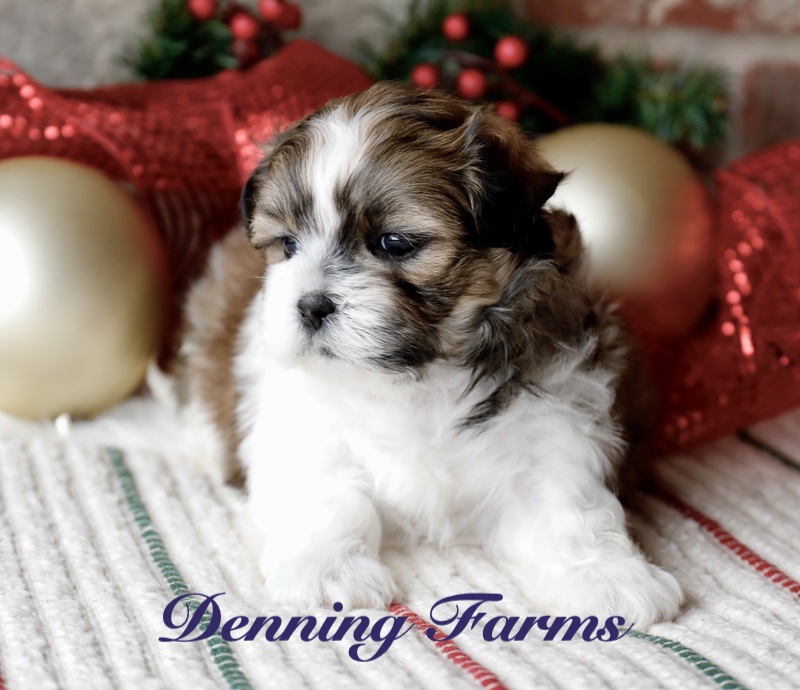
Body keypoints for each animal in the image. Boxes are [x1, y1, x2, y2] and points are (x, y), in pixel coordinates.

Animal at [168, 82, 683, 627]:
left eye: (394, 243)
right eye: (288, 245)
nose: (309, 305)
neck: (419, 378)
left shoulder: (554, 422)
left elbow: (569, 508)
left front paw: (609, 577)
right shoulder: (305, 424)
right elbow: (323, 494)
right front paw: (328, 572)